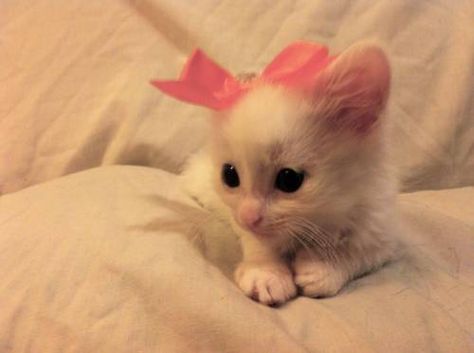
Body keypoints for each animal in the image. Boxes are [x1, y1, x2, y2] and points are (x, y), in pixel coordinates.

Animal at [181, 42, 400, 304]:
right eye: (229, 176)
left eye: (289, 180)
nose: (249, 217)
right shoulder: (242, 222)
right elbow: (257, 241)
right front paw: (266, 272)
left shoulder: (382, 233)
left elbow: (358, 254)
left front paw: (325, 267)